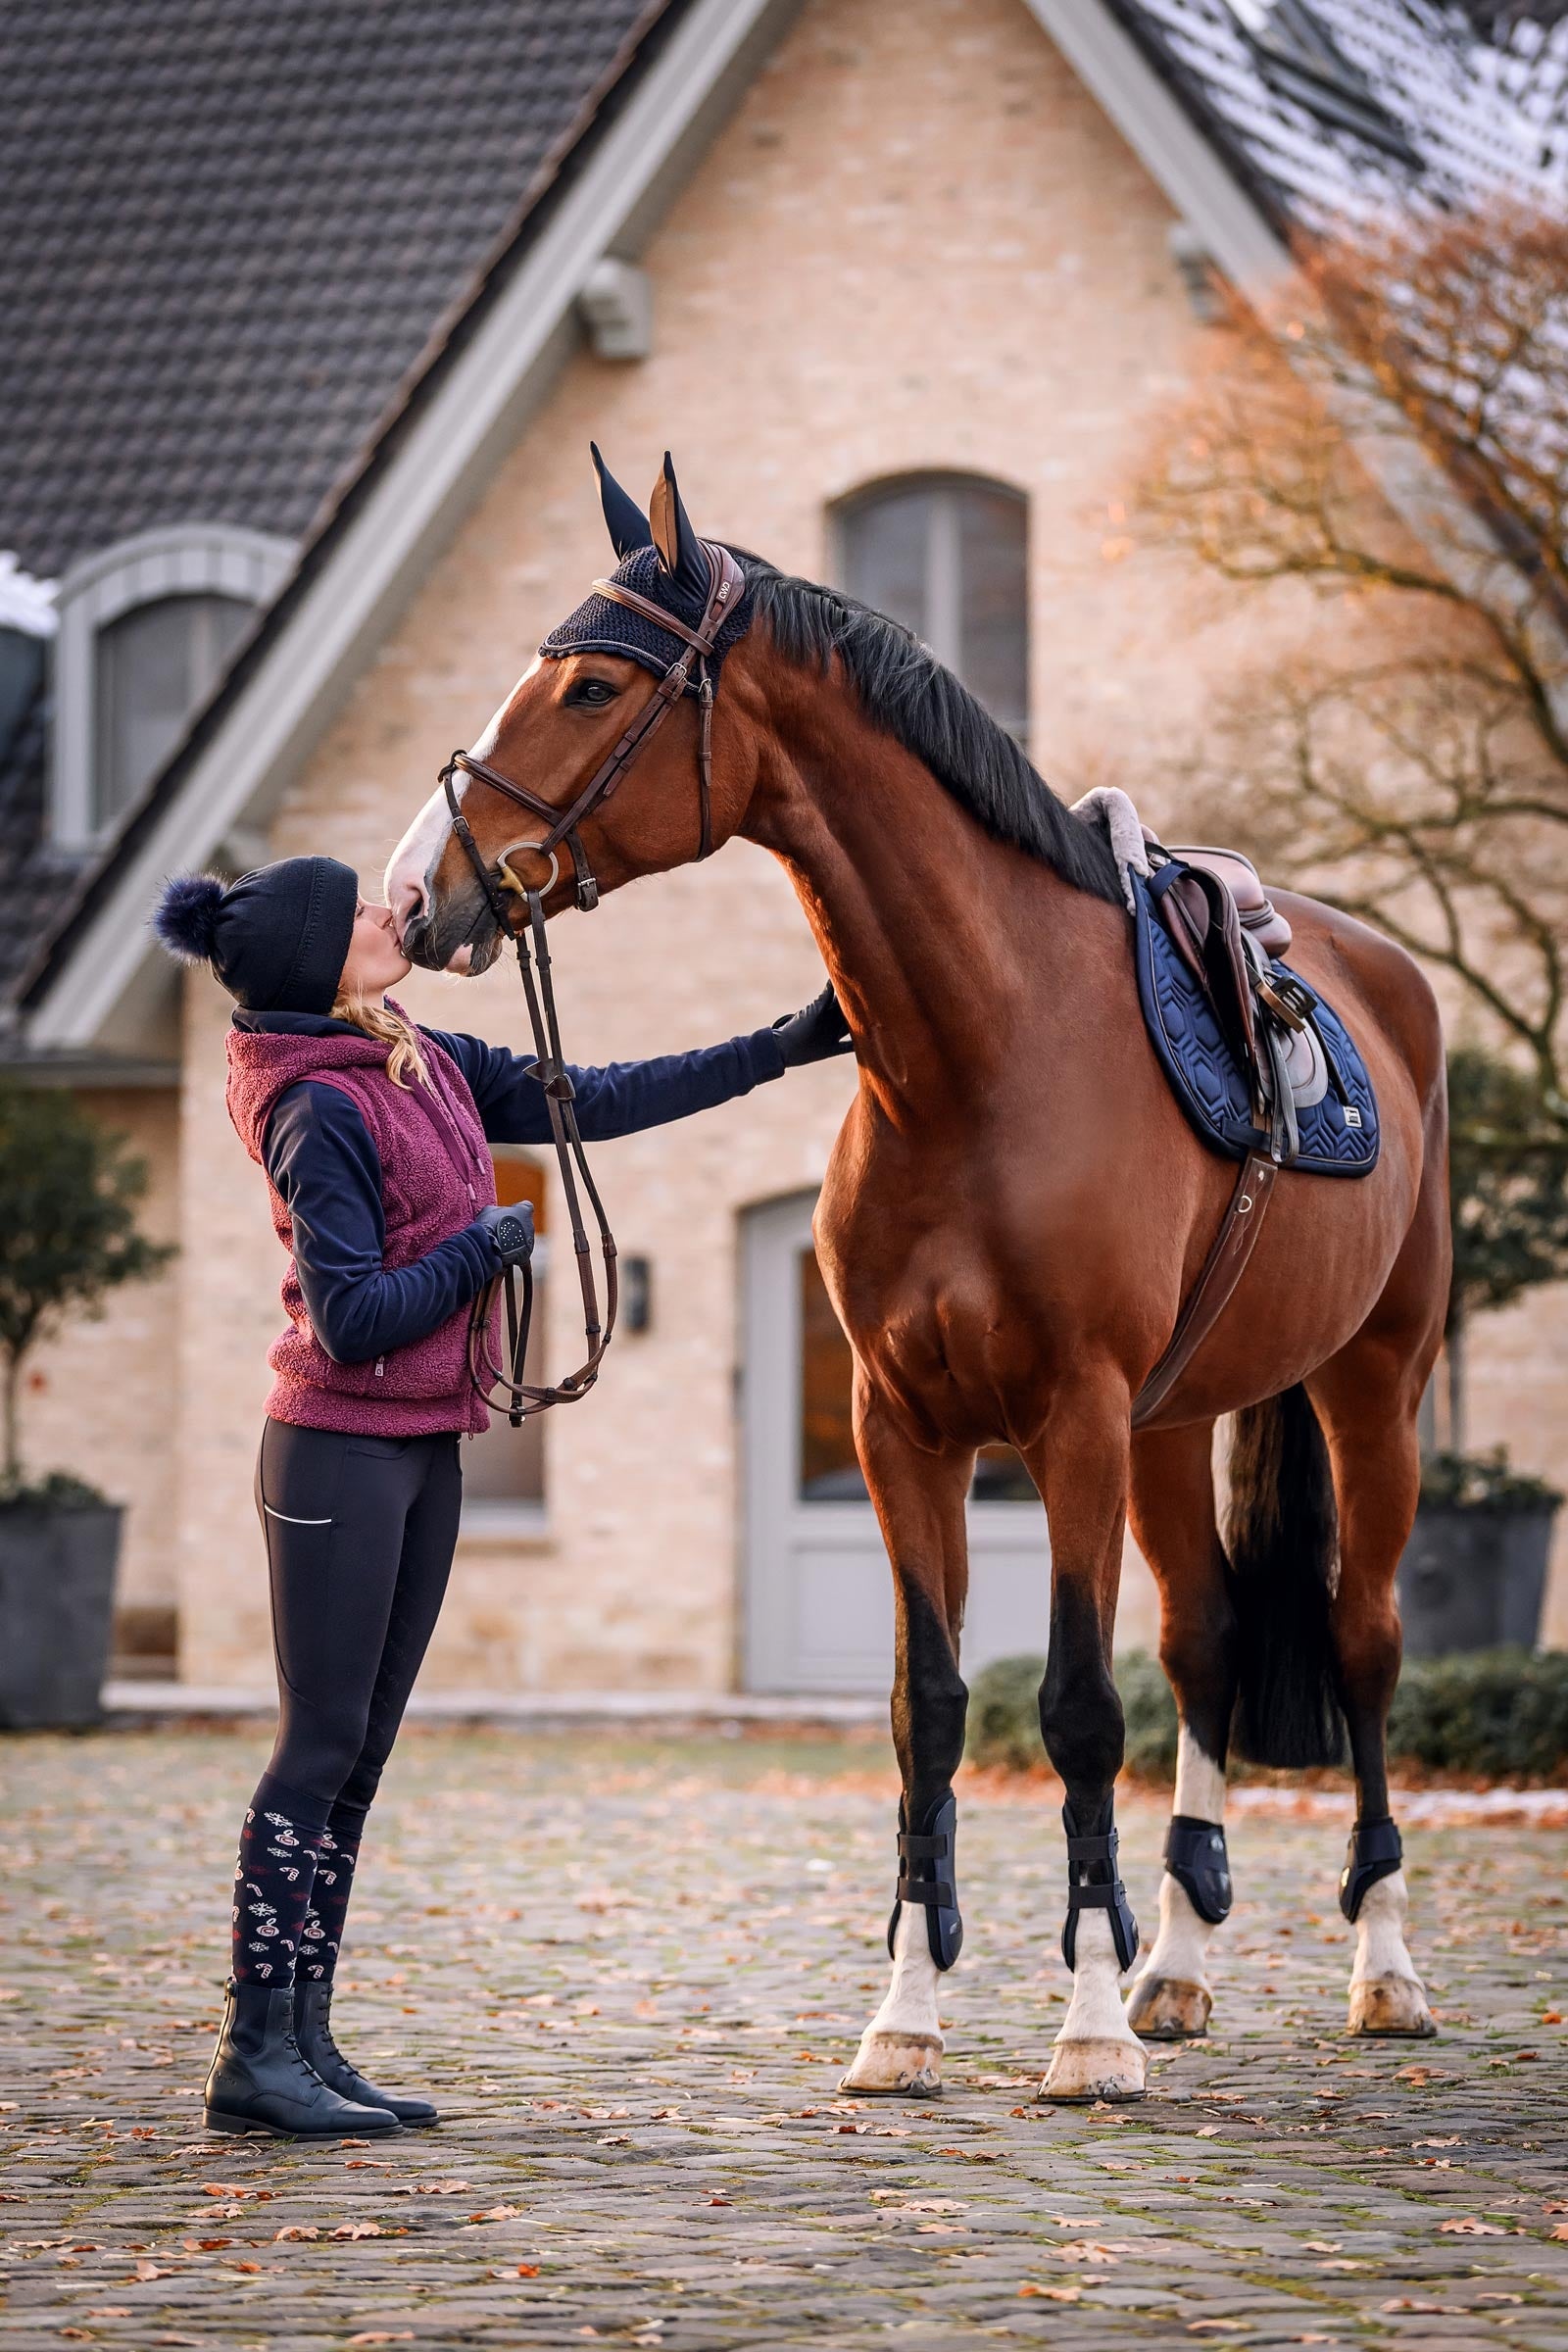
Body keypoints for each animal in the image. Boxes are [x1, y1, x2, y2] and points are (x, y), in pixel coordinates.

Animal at [386, 450, 1449, 2103]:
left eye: (589, 683)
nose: (415, 891)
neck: (978, 1059)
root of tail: (1383, 973)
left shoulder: (1069, 1422)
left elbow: (1075, 1708)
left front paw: (1081, 2030)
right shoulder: (903, 1430)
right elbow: (927, 1707)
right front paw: (908, 2013)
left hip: (1368, 1388)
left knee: (1362, 1645)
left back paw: (1381, 1969)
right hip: (1172, 1426)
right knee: (1207, 1641)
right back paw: (1179, 1965)